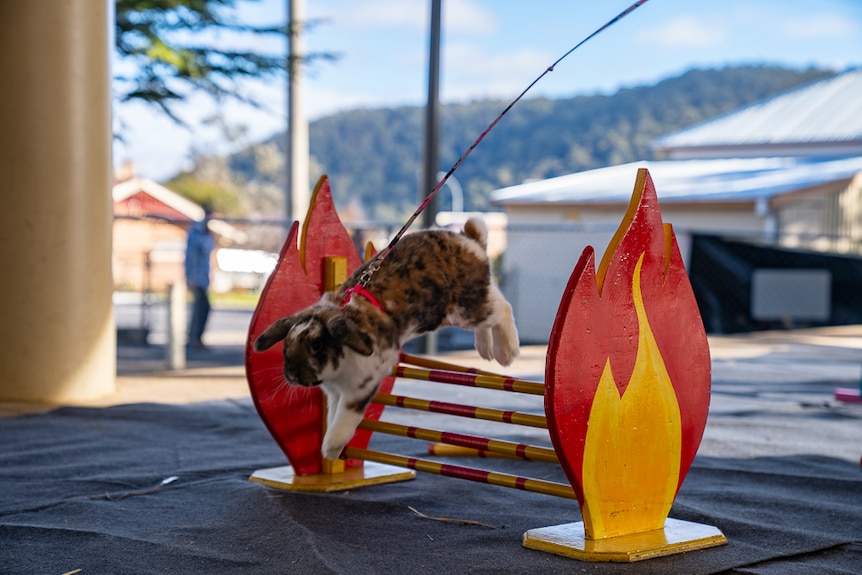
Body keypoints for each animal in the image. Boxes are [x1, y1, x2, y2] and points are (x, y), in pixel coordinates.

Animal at [251, 218, 520, 462]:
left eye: (316, 345)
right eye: (286, 346)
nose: (292, 376)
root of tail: (470, 240)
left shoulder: (360, 389)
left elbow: (344, 420)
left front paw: (330, 449)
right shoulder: (336, 394)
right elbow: (333, 415)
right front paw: (329, 450)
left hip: (466, 307)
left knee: (502, 308)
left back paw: (507, 352)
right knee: (493, 307)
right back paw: (485, 349)